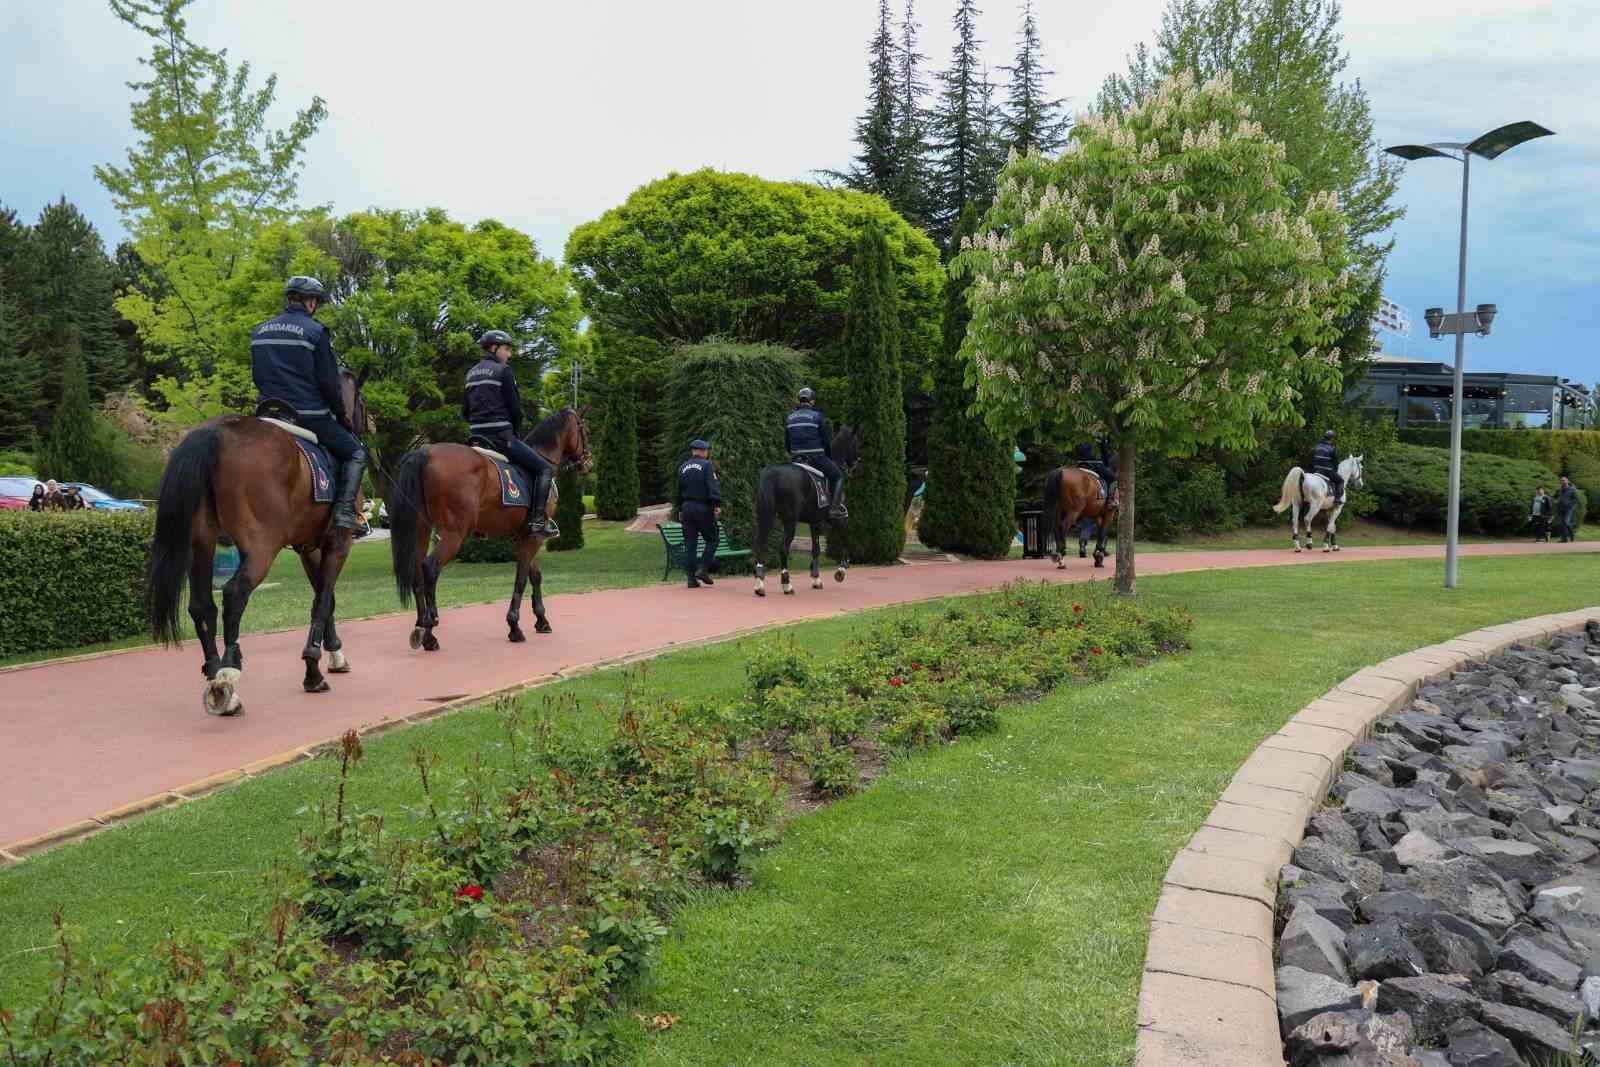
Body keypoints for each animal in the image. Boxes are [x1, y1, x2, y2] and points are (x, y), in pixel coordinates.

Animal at [143, 371, 368, 713]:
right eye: (361, 402)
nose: (366, 425)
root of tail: (214, 431)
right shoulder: (338, 542)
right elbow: (324, 600)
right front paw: (313, 669)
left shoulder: (310, 548)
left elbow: (324, 597)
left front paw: (334, 654)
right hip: (262, 547)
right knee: (234, 593)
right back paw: (229, 669)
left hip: (202, 544)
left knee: (201, 606)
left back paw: (219, 684)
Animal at [387, 404, 595, 646]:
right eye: (586, 431)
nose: (588, 463)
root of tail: (424, 452)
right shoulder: (535, 536)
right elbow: (521, 578)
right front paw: (514, 626)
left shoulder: (525, 535)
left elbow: (534, 575)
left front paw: (541, 620)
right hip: (454, 535)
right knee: (430, 568)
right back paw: (430, 630)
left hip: (421, 529)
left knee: (417, 571)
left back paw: (421, 624)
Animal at [752, 435, 857, 601]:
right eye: (854, 442)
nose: (856, 461)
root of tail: (773, 472)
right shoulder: (839, 519)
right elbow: (845, 540)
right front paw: (841, 569)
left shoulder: (815, 521)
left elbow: (816, 549)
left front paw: (816, 578)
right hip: (790, 521)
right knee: (783, 548)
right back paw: (787, 585)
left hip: (765, 516)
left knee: (760, 544)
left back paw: (760, 585)